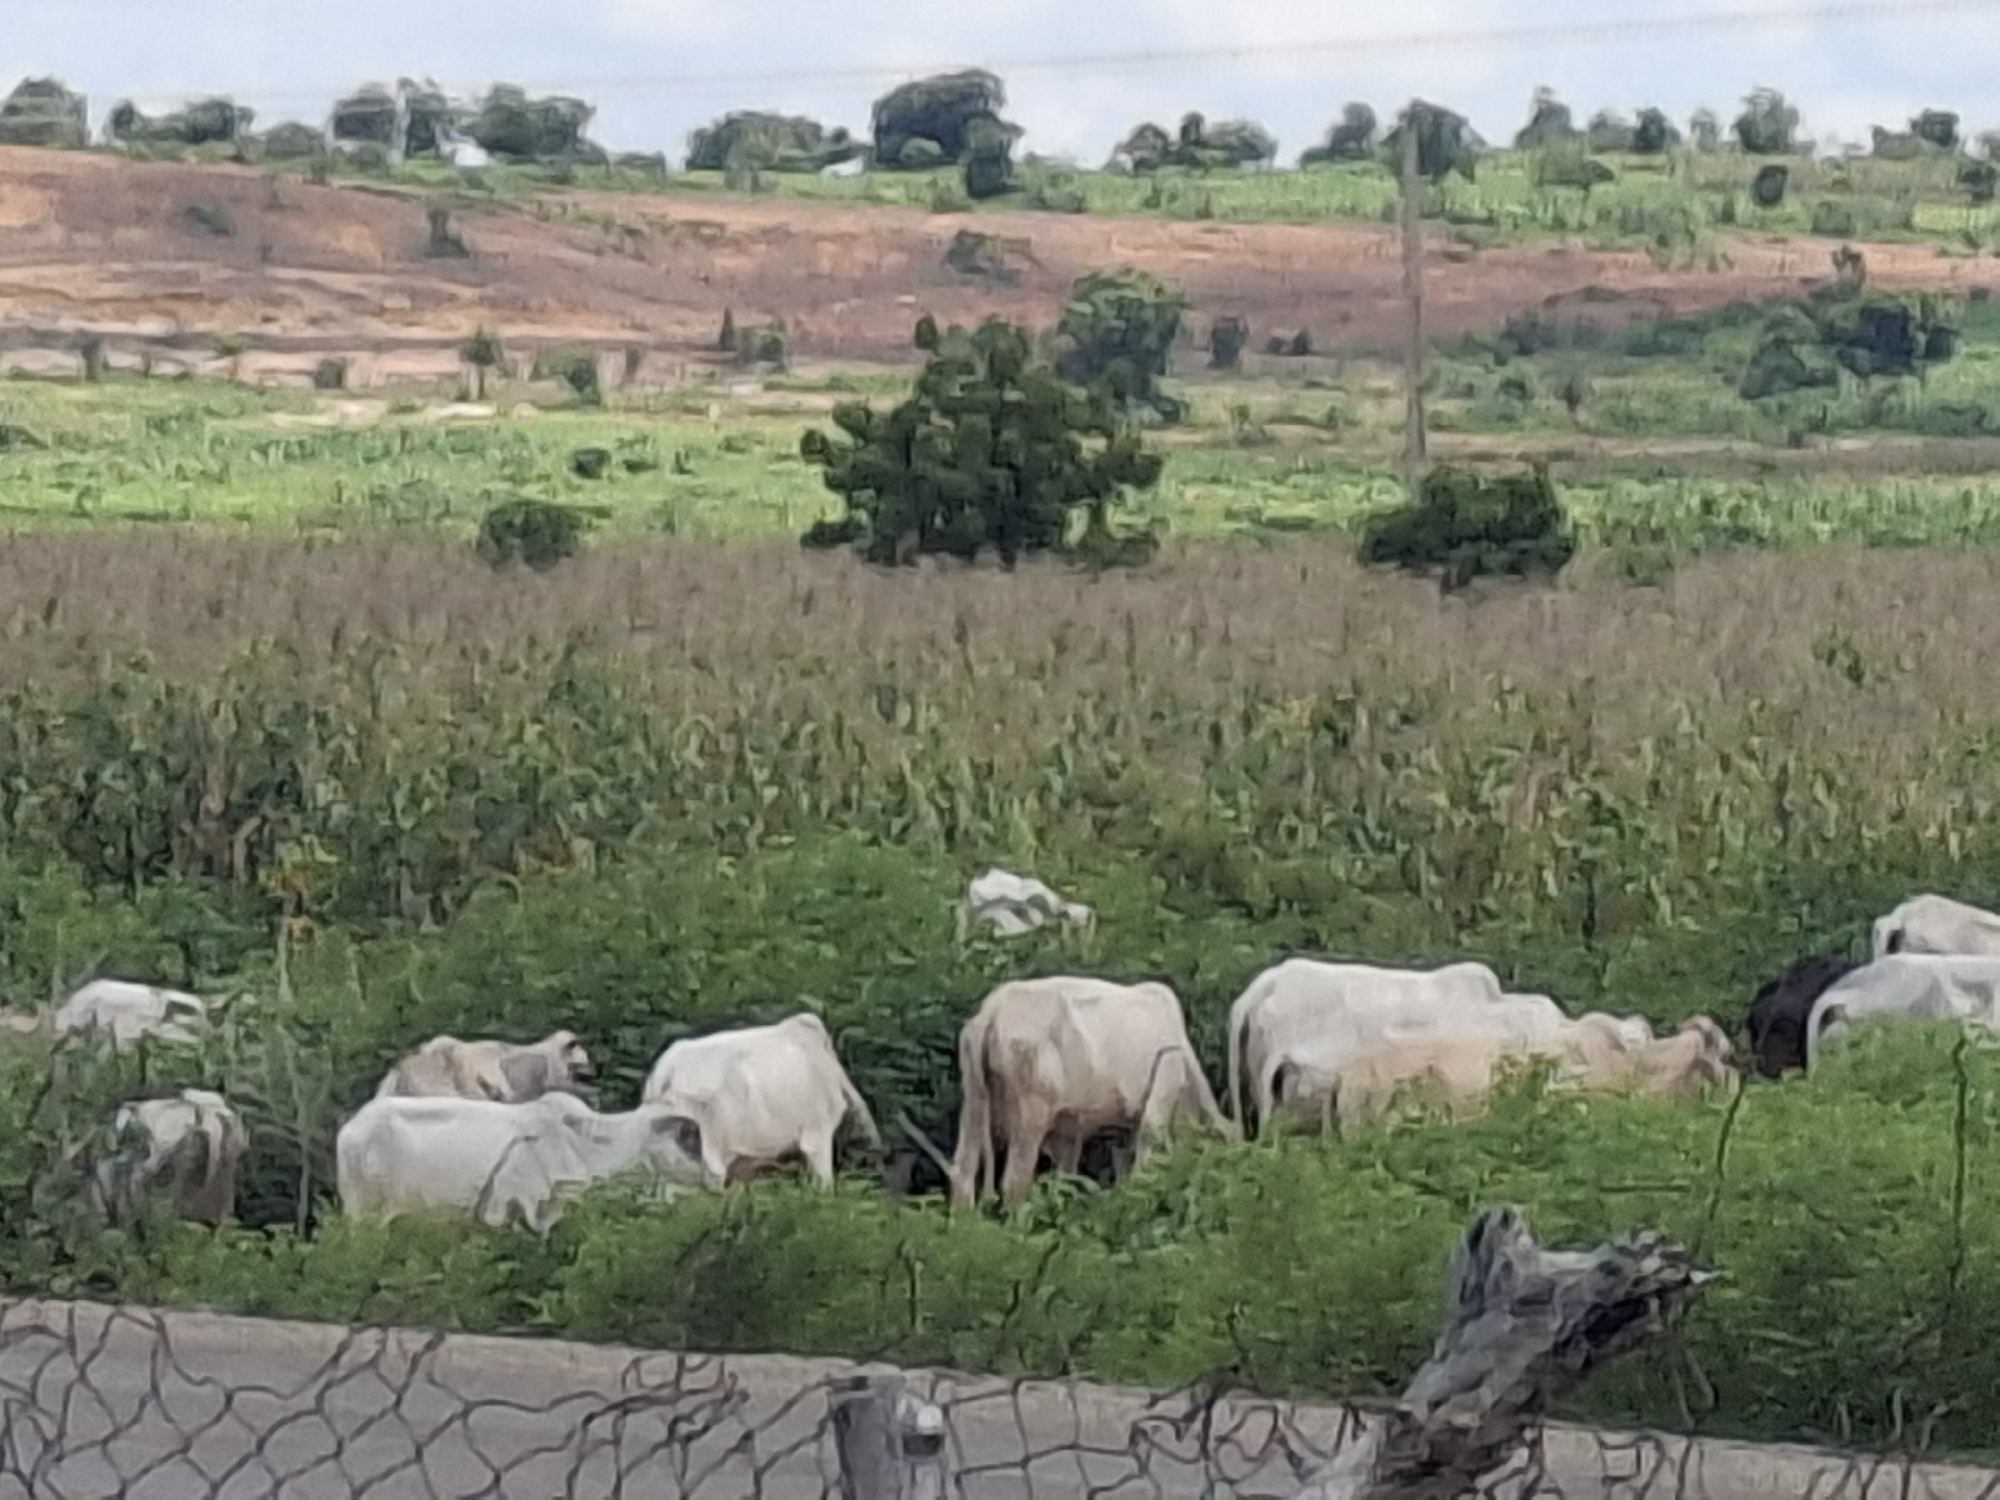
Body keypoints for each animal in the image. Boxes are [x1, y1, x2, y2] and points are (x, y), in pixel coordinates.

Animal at [948, 976, 1237, 1209]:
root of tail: (993, 1011)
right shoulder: (1157, 1102)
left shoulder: (1074, 1131)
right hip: (1030, 1116)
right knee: (1015, 1181)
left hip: (973, 1104)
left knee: (963, 1173)